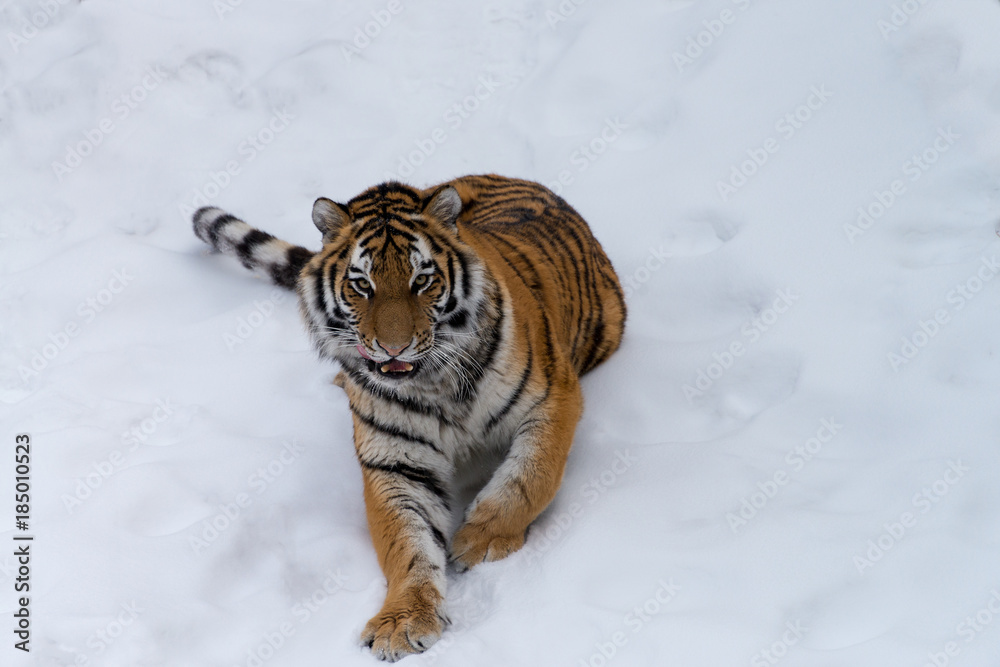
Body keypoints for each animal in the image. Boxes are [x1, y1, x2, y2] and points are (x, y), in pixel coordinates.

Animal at [192, 174, 626, 661]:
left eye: (422, 280)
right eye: (362, 285)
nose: (393, 348)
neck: (434, 382)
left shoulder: (552, 397)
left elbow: (529, 477)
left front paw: (481, 541)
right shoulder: (395, 460)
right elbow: (406, 541)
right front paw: (403, 619)